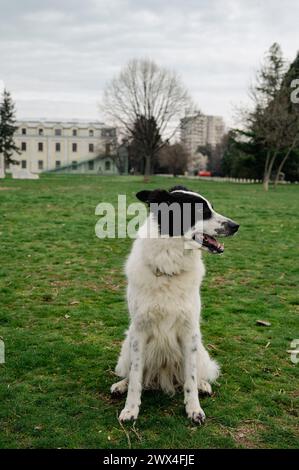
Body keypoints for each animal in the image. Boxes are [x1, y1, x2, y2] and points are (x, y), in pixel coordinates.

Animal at [111, 185, 240, 424]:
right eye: (201, 212)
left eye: (212, 208)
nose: (236, 226)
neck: (169, 267)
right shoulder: (139, 332)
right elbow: (135, 377)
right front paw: (130, 409)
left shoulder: (189, 332)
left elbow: (190, 378)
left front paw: (194, 409)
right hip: (127, 345)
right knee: (132, 373)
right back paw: (121, 385)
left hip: (199, 348)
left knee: (196, 374)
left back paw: (203, 385)